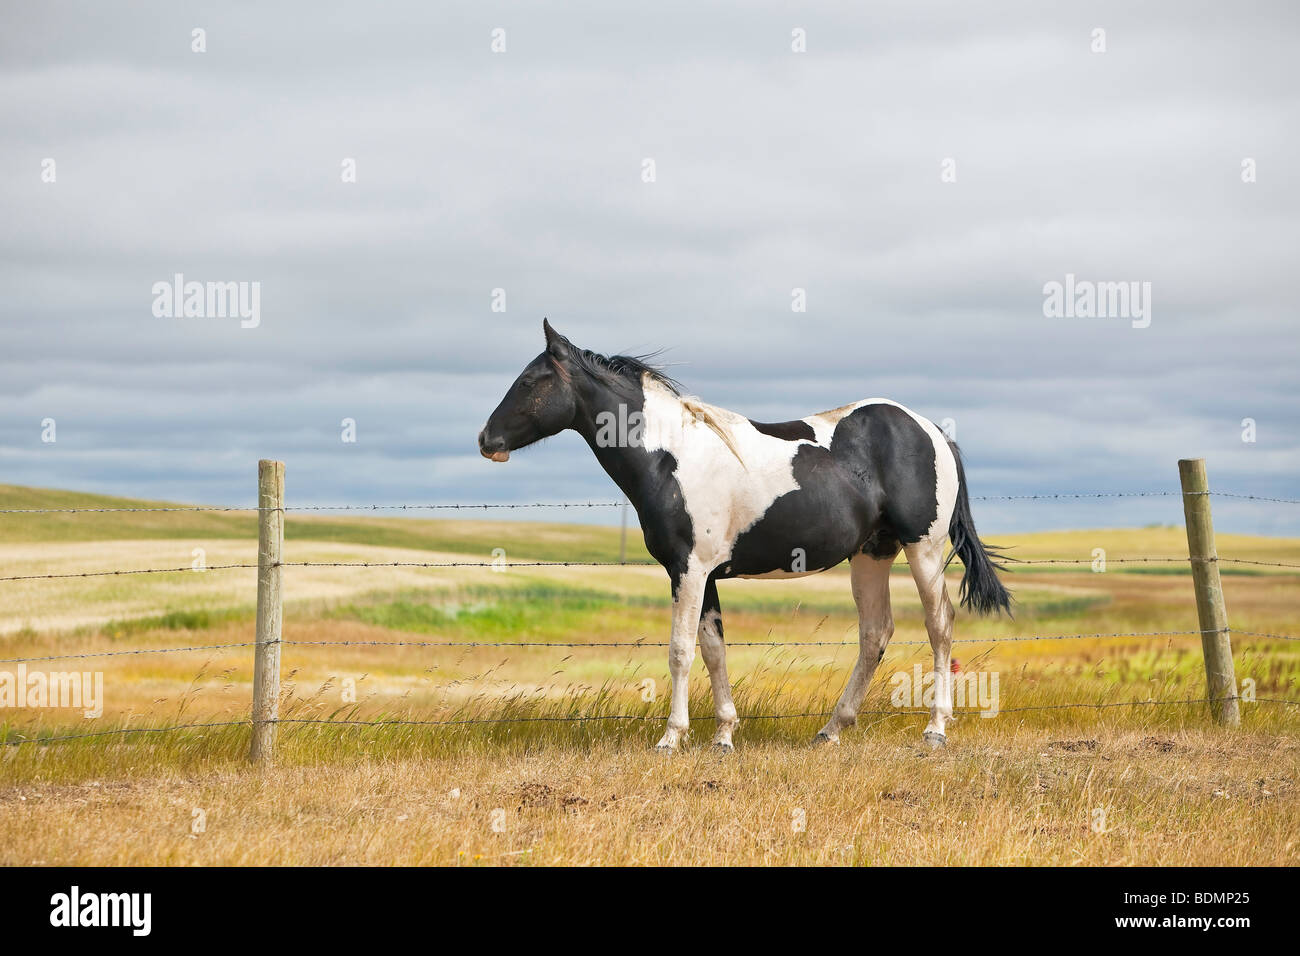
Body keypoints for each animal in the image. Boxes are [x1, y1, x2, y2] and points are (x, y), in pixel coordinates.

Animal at [478, 319, 1012, 752]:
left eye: (530, 381)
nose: (486, 440)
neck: (672, 456)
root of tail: (931, 431)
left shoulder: (689, 571)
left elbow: (680, 651)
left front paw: (670, 738)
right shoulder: (705, 576)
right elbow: (713, 651)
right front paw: (723, 735)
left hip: (924, 549)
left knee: (939, 626)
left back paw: (935, 729)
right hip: (871, 554)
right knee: (875, 634)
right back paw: (831, 729)